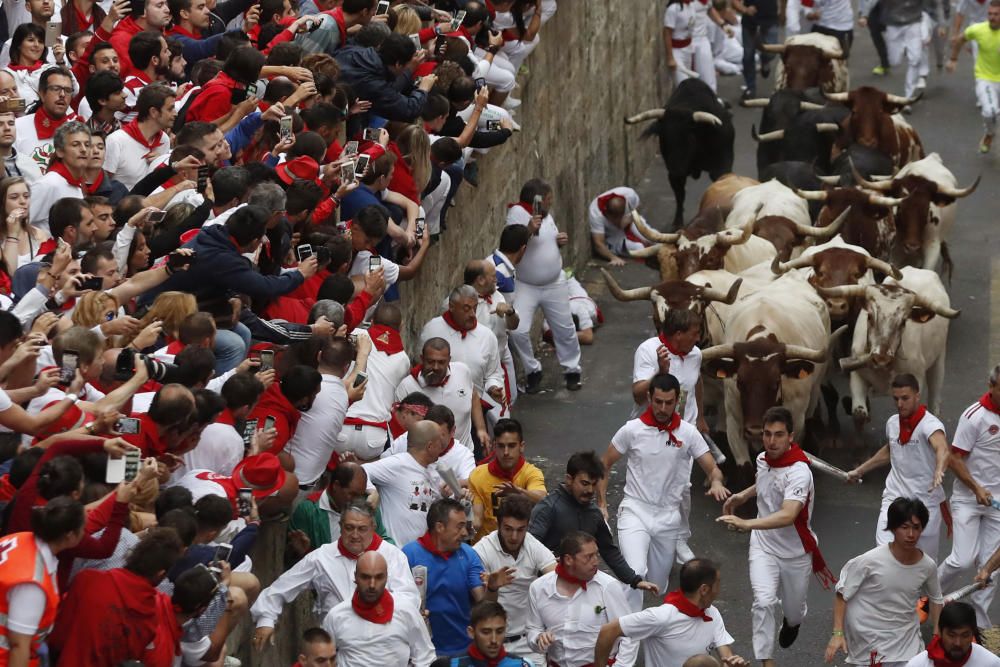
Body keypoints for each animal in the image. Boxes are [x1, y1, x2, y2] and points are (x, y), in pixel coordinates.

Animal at [624, 79, 736, 227]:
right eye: (663, 136)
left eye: (689, 137)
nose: (676, 169)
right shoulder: (674, 176)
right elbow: (680, 196)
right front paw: (677, 223)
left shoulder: (720, 167)